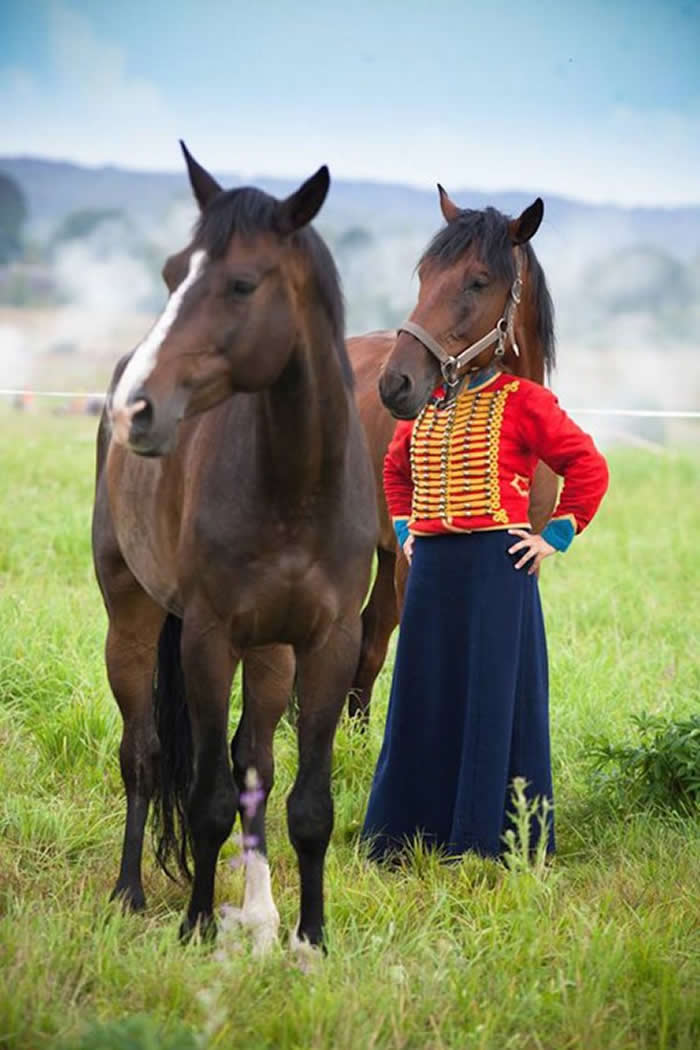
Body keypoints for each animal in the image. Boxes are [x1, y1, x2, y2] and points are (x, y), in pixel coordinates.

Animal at [92, 142, 377, 955]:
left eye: (243, 283)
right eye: (170, 273)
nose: (135, 410)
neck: (293, 487)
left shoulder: (328, 644)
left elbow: (305, 803)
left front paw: (309, 936)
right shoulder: (208, 639)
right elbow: (207, 798)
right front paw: (194, 924)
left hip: (271, 652)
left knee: (256, 763)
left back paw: (260, 911)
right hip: (132, 622)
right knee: (145, 756)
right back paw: (129, 891)